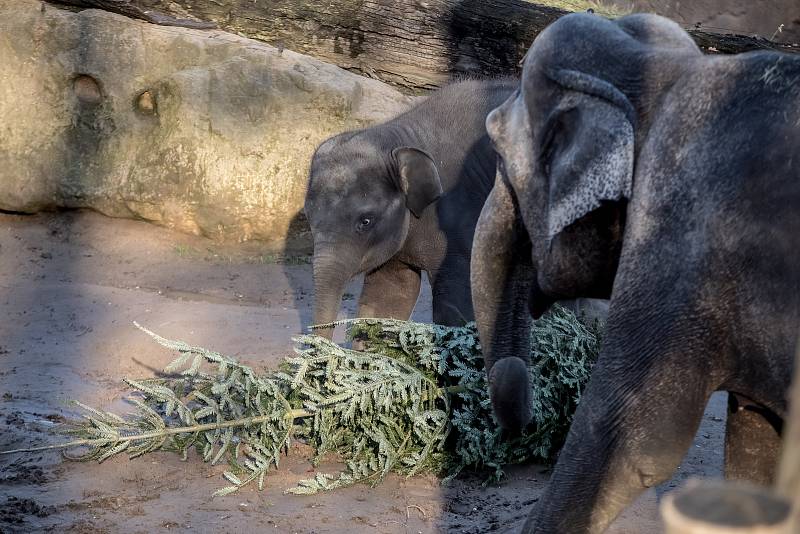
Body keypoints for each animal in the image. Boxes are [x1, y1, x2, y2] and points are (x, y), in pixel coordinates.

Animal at [472, 12, 800, 534]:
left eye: (498, 151)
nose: (521, 420)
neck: (662, 70)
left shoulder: (676, 240)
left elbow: (629, 440)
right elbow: (756, 446)